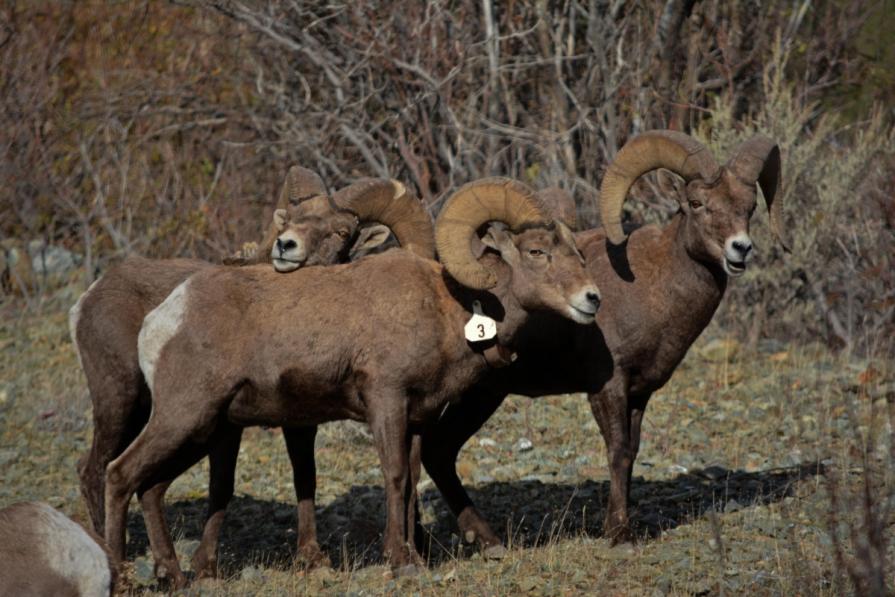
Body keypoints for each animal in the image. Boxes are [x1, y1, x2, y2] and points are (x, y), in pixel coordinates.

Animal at [70, 165, 434, 564]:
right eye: (289, 220)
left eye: (341, 232)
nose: (286, 246)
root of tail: (89, 297)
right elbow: (236, 484)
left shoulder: (298, 421)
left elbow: (304, 476)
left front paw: (313, 556)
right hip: (122, 404)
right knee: (96, 470)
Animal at [110, 178, 600, 584]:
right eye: (537, 251)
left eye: (577, 252)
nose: (591, 298)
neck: (452, 309)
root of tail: (162, 320)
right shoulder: (386, 402)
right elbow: (396, 477)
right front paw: (400, 563)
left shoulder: (416, 419)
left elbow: (411, 482)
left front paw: (415, 558)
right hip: (183, 418)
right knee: (120, 476)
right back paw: (121, 577)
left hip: (205, 429)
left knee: (150, 488)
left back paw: (174, 576)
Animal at [420, 130, 784, 548]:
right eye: (696, 203)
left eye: (750, 207)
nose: (740, 249)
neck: (653, 286)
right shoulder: (608, 388)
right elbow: (618, 452)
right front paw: (619, 533)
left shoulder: (639, 393)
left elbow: (632, 452)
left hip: (482, 395)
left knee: (438, 452)